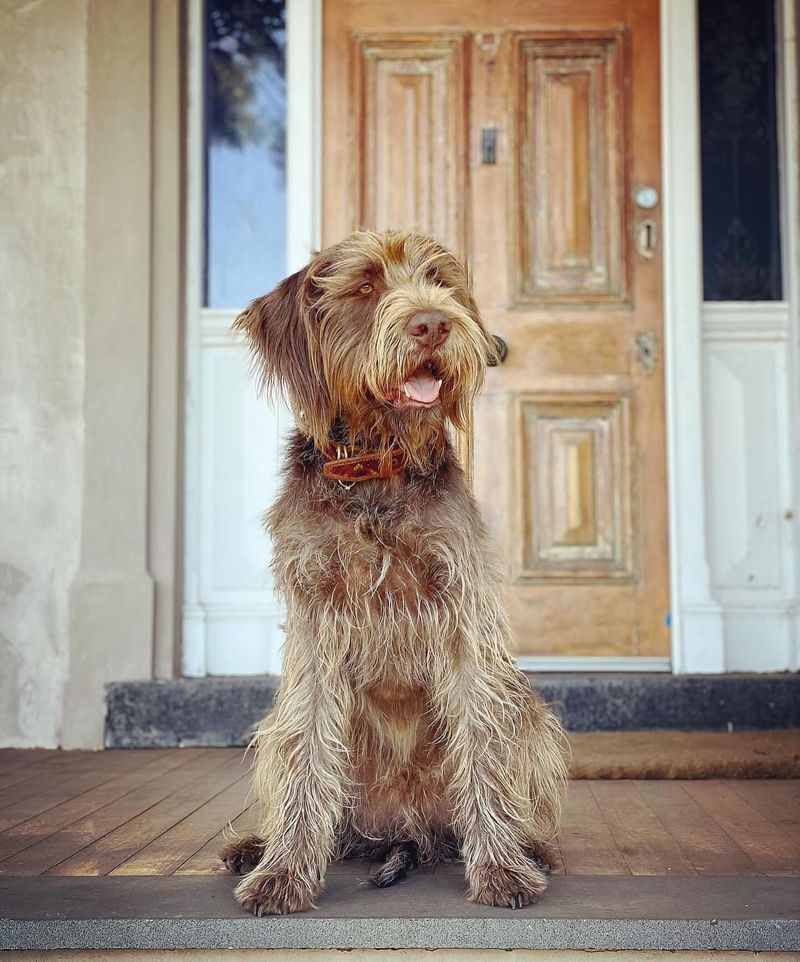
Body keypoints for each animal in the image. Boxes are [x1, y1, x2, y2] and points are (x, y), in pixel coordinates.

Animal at [220, 229, 568, 912]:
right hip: (284, 734)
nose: (432, 323)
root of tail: (407, 828)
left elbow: (480, 739)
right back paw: (263, 845)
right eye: (363, 287)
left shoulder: (461, 616)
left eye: (440, 282)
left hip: (527, 712)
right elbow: (307, 747)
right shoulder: (315, 619)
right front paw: (284, 872)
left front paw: (501, 868)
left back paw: (527, 846)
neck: (376, 467)